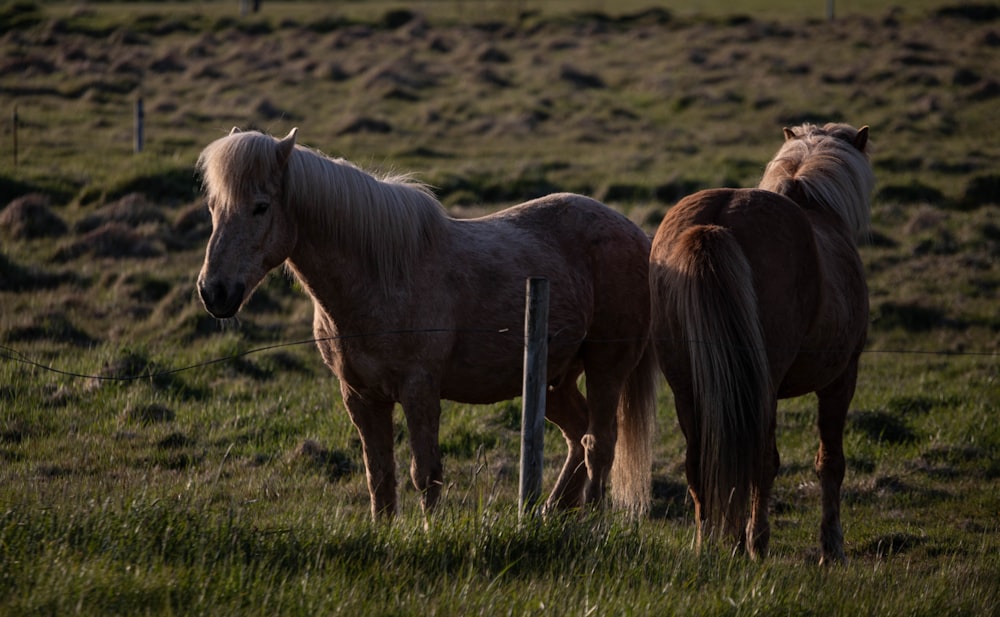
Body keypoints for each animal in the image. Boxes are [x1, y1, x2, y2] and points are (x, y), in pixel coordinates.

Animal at [199, 129, 660, 520]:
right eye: (213, 207)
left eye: (260, 207)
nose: (214, 291)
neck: (380, 276)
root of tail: (637, 235)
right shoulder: (360, 396)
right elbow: (379, 475)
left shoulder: (419, 390)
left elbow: (425, 473)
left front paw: (430, 532)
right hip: (554, 378)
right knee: (579, 436)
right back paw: (549, 513)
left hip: (605, 367)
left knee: (600, 444)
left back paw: (591, 523)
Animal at [652, 122, 872, 560]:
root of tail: (716, 222)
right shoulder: (842, 378)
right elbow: (830, 462)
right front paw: (831, 546)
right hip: (762, 386)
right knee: (759, 461)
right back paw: (754, 543)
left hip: (686, 386)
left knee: (700, 462)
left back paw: (708, 543)